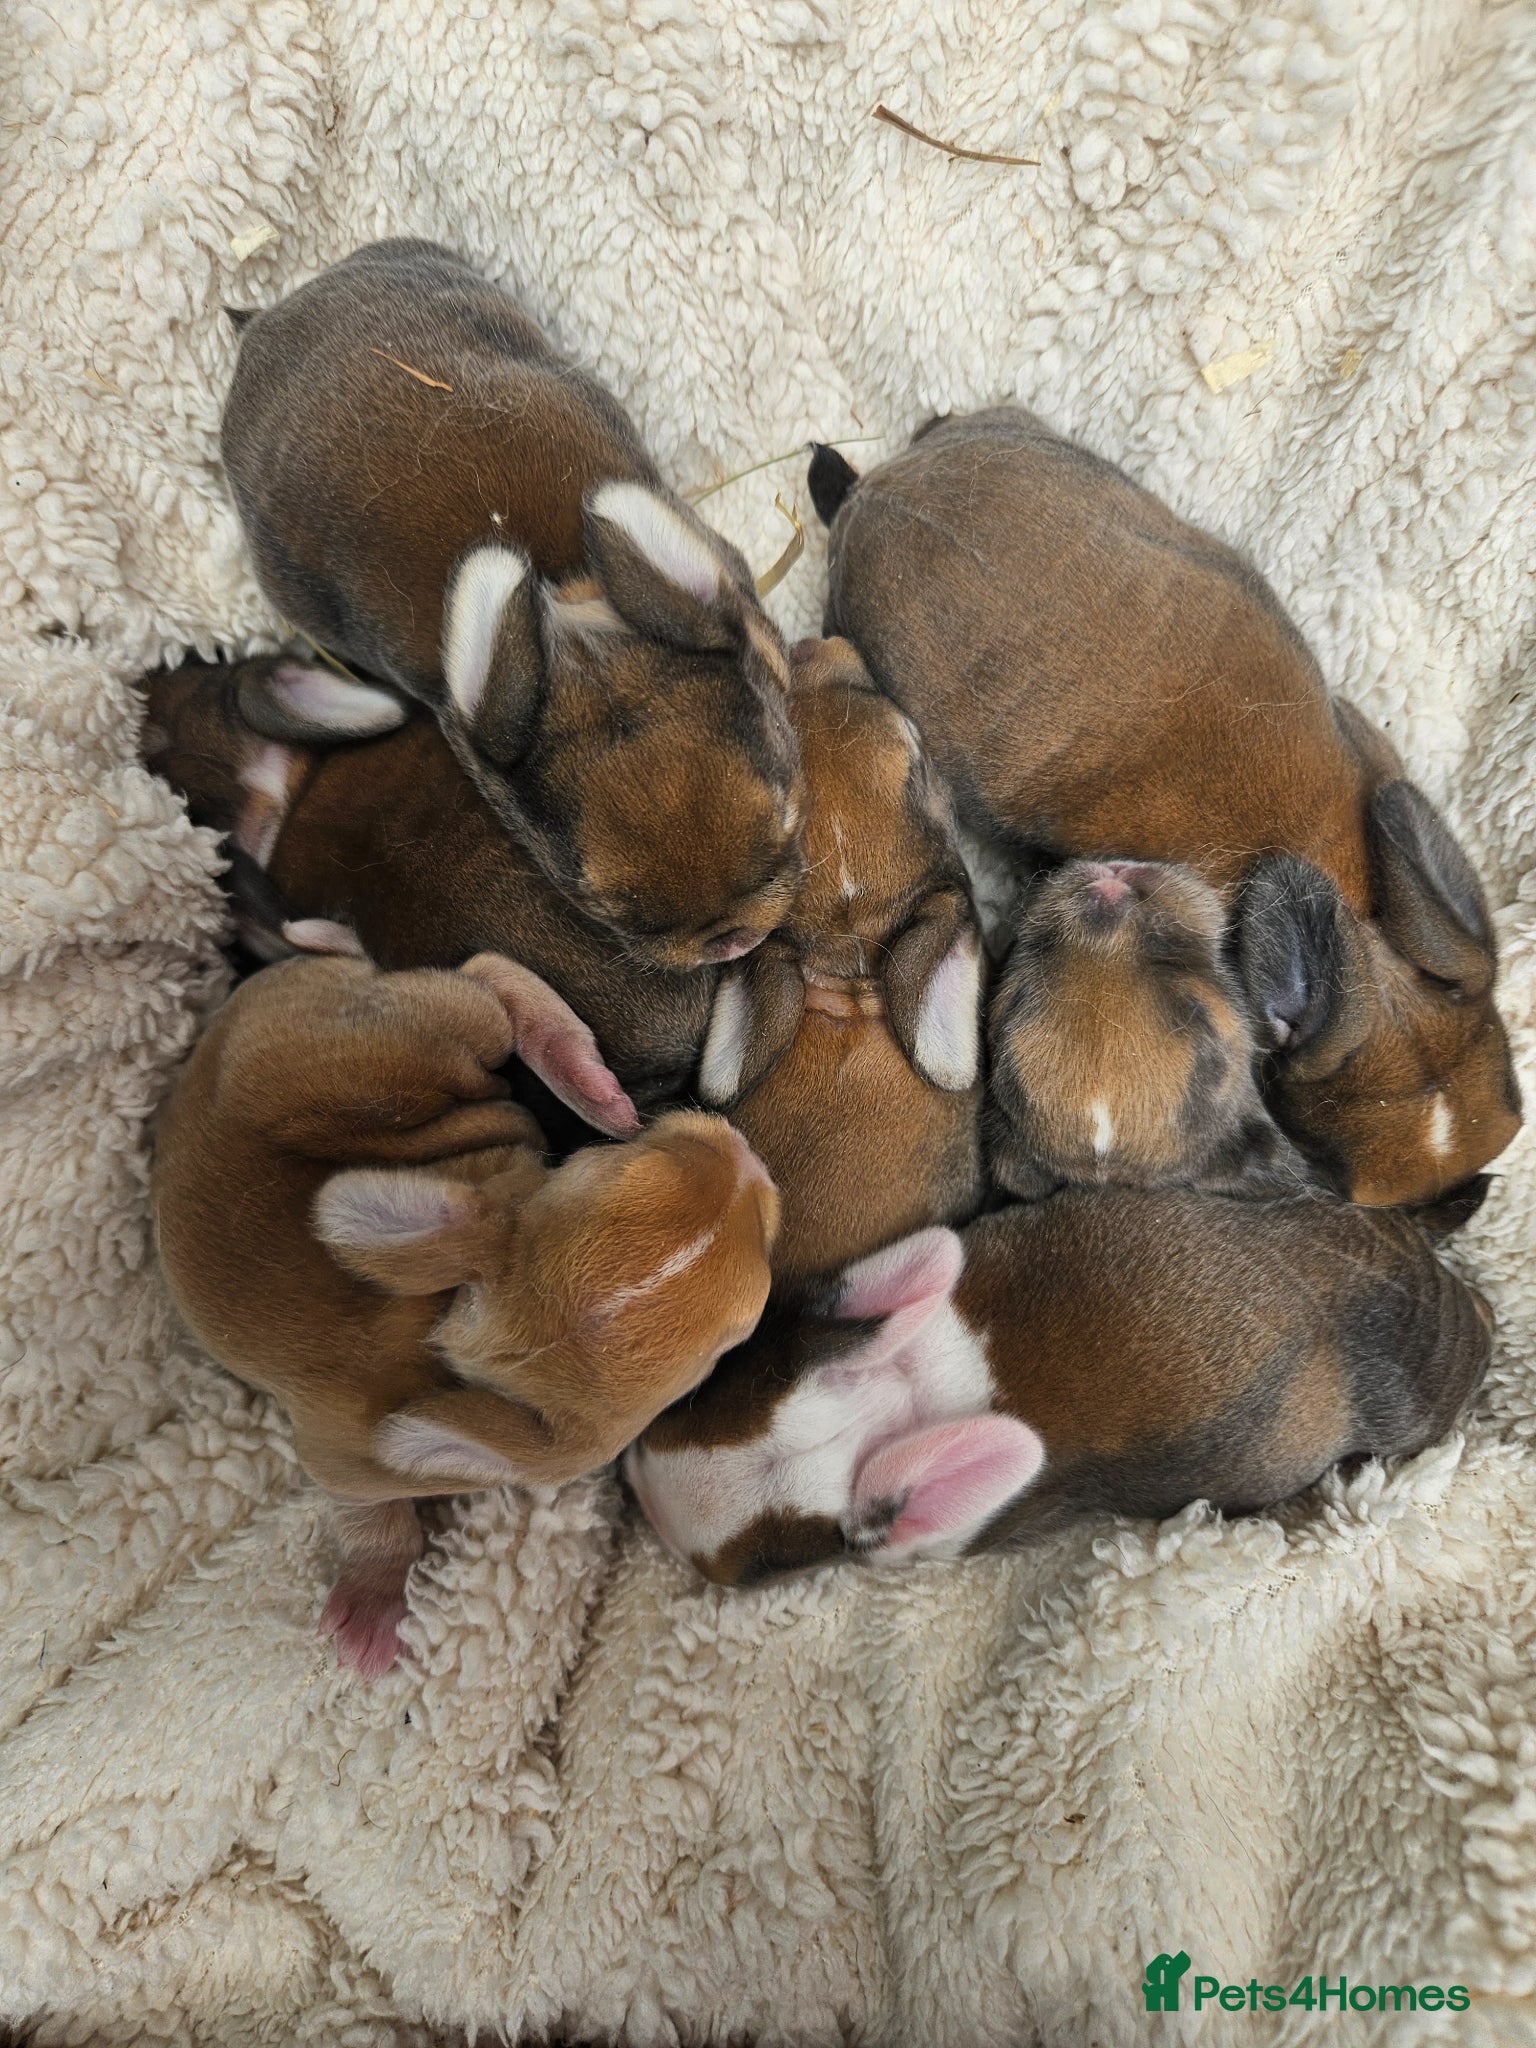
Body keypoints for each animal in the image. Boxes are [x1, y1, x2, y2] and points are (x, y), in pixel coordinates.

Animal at [153, 950, 778, 1674]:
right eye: (735, 1340)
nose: (748, 1159)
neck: (454, 1341)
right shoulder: (347, 1464)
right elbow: (373, 1519)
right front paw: (373, 1606)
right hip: (404, 1041)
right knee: (484, 982)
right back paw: (587, 1080)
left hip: (405, 1043)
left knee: (482, 983)